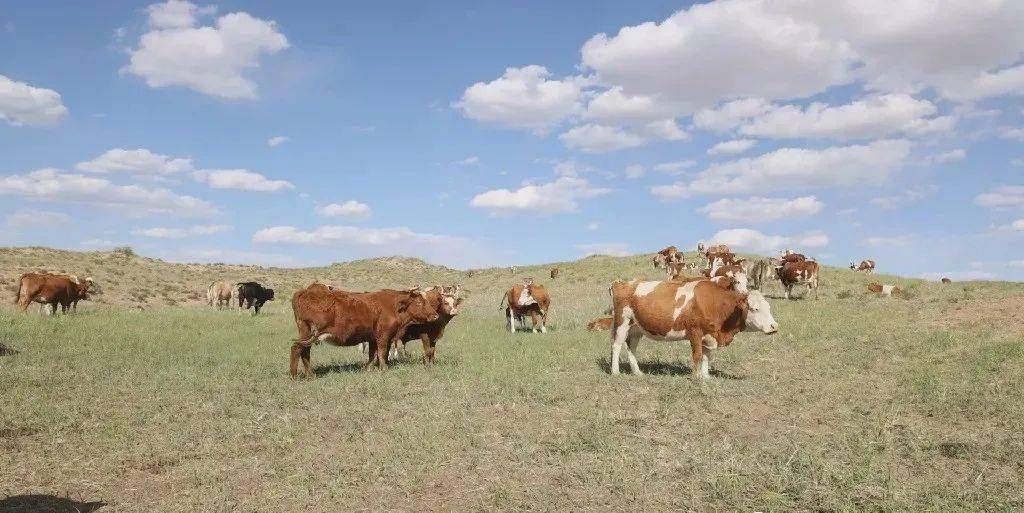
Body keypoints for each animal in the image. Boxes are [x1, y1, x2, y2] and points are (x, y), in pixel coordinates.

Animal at [286, 282, 438, 374]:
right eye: (419, 302)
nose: (435, 315)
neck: (393, 307)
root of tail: (305, 291)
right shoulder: (384, 336)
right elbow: (382, 353)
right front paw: (384, 368)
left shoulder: (373, 338)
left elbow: (373, 354)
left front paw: (369, 369)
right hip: (308, 333)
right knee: (296, 349)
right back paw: (294, 376)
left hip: (307, 334)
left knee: (305, 351)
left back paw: (311, 375)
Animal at [610, 278, 778, 378]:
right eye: (755, 309)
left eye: (769, 307)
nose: (774, 326)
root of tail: (623, 283)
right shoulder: (695, 331)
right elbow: (697, 355)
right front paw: (696, 377)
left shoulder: (709, 336)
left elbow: (707, 356)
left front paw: (706, 377)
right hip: (622, 322)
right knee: (616, 345)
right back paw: (615, 372)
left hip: (636, 328)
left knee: (631, 348)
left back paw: (637, 372)